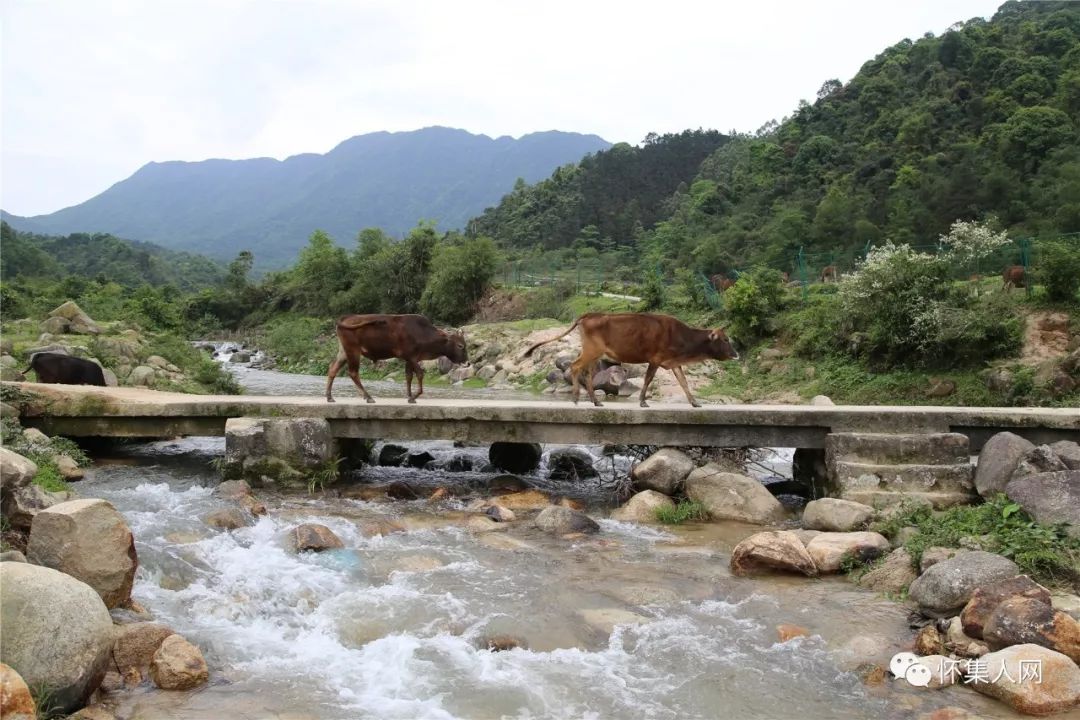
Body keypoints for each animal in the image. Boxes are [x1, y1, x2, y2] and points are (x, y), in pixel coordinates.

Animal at [324, 315, 468, 405]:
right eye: (460, 345)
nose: (467, 362)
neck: (423, 334)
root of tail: (345, 318)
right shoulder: (412, 357)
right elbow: (420, 374)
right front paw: (415, 396)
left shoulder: (409, 359)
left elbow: (408, 376)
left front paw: (410, 397)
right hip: (353, 351)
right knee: (353, 372)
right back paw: (369, 397)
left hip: (343, 352)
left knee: (332, 369)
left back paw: (329, 397)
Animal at [522, 313, 743, 408]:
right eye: (725, 339)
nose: (736, 354)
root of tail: (590, 315)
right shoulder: (656, 359)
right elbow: (648, 379)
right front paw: (643, 401)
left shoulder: (673, 362)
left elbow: (683, 381)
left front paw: (695, 402)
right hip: (592, 351)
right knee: (576, 367)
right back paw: (577, 398)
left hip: (594, 354)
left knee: (587, 372)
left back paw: (595, 401)